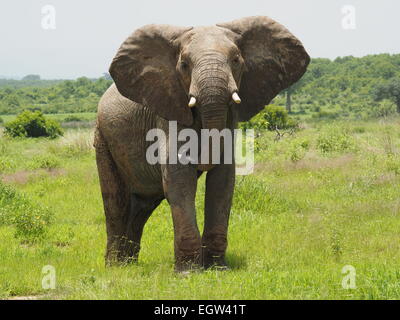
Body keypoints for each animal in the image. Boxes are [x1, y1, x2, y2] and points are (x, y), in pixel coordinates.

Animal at [94, 14, 310, 270]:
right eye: (184, 64)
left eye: (236, 60)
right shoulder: (169, 109)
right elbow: (179, 177)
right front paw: (189, 271)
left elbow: (223, 180)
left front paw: (217, 268)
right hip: (102, 138)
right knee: (116, 202)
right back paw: (116, 267)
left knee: (142, 205)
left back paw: (129, 264)